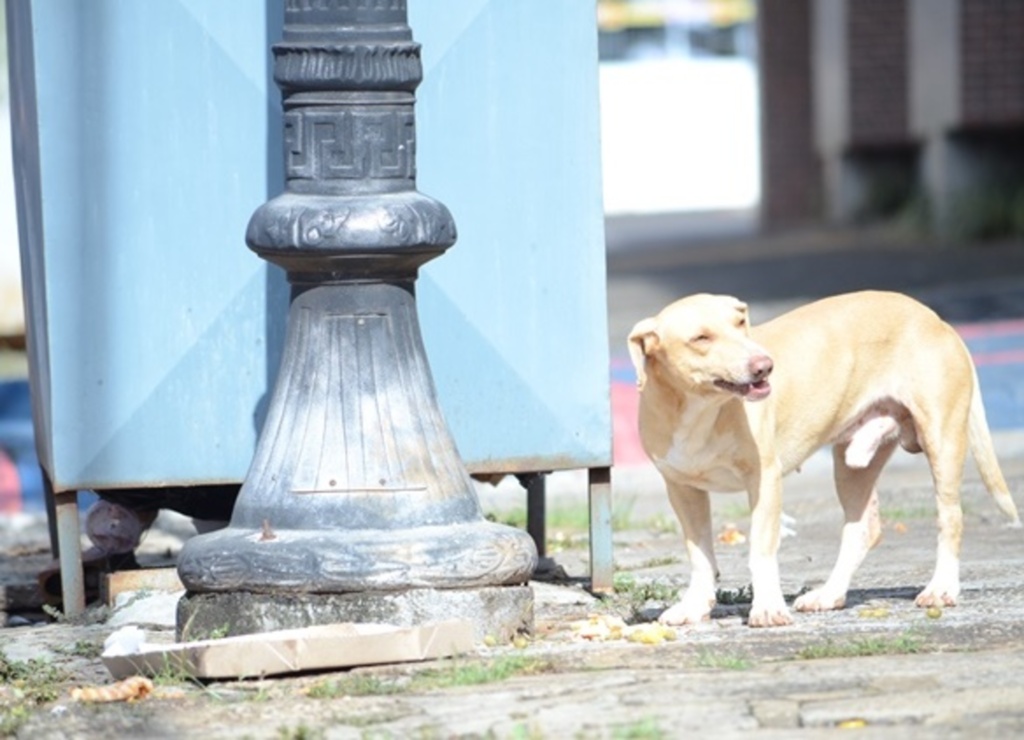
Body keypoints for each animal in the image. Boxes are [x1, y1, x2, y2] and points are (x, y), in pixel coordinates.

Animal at [626, 292, 1019, 626]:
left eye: (740, 323)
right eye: (701, 338)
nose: (764, 365)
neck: (700, 410)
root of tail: (934, 317)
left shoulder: (764, 481)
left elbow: (760, 549)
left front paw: (767, 607)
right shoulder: (682, 489)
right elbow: (699, 555)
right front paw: (694, 606)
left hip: (942, 438)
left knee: (950, 516)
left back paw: (941, 587)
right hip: (852, 464)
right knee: (862, 529)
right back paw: (830, 594)